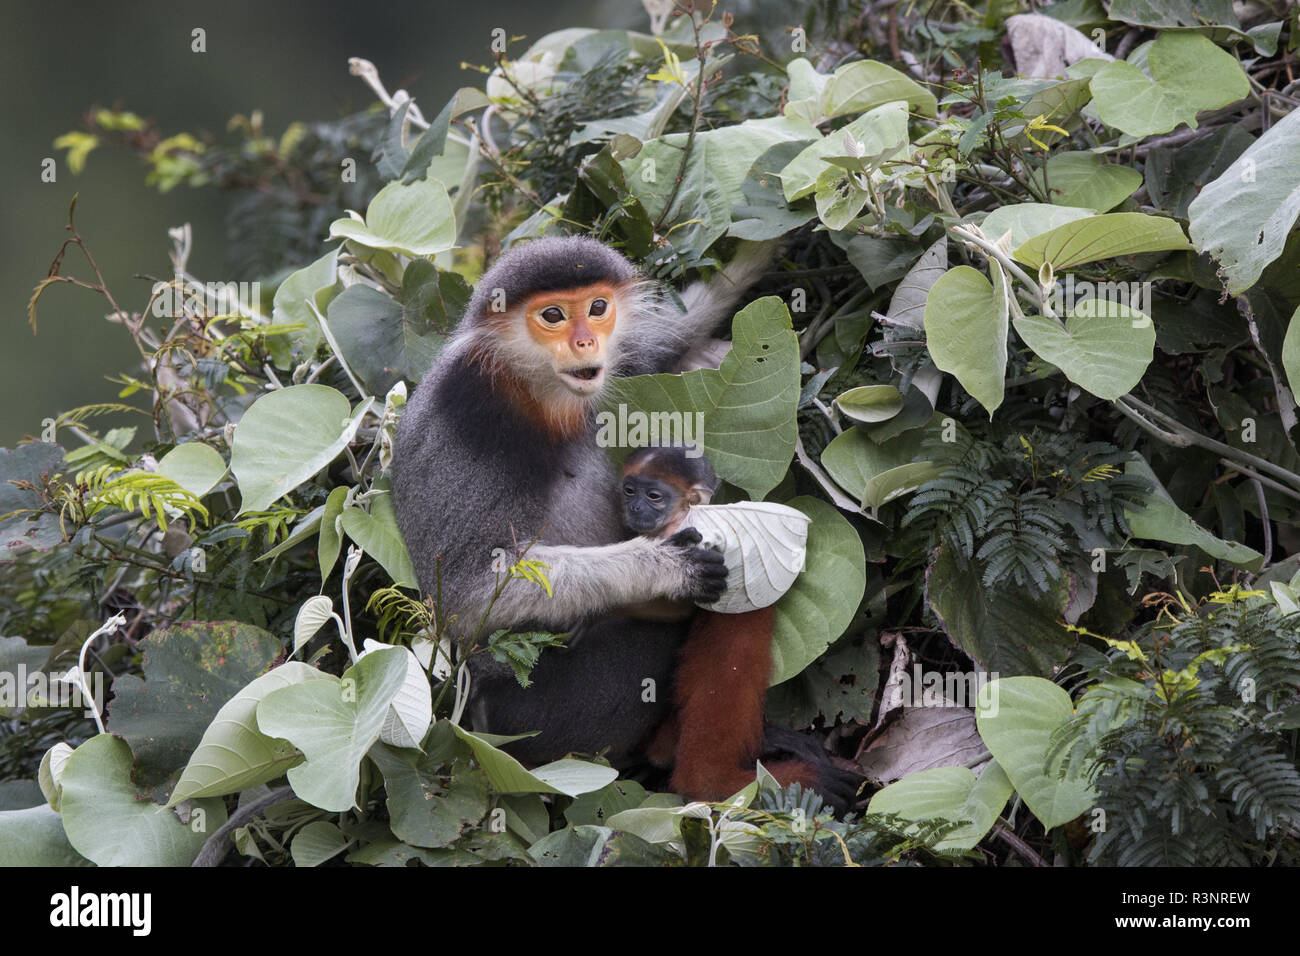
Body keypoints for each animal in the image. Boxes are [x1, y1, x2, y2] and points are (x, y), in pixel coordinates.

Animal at [390, 235, 764, 764]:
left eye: (598, 308)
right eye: (553, 316)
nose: (586, 342)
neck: (535, 391)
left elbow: (668, 335)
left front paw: (761, 253)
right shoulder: (467, 403)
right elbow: (466, 595)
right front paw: (666, 567)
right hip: (537, 716)